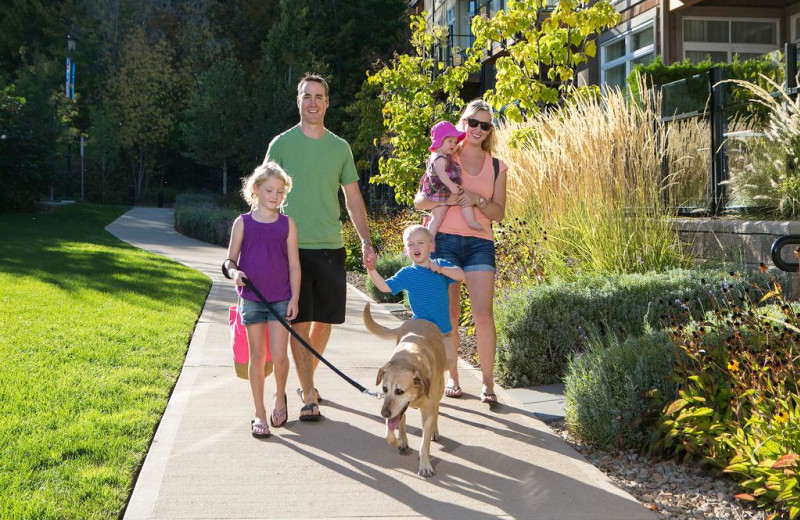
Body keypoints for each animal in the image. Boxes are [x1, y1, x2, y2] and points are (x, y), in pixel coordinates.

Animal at [364, 302, 446, 478]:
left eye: (400, 391)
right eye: (384, 389)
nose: (384, 413)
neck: (407, 360)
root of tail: (420, 319)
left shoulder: (426, 411)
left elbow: (424, 443)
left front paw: (425, 465)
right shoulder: (392, 408)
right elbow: (390, 430)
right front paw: (396, 441)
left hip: (440, 389)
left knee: (437, 408)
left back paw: (434, 431)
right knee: (403, 418)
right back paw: (402, 439)